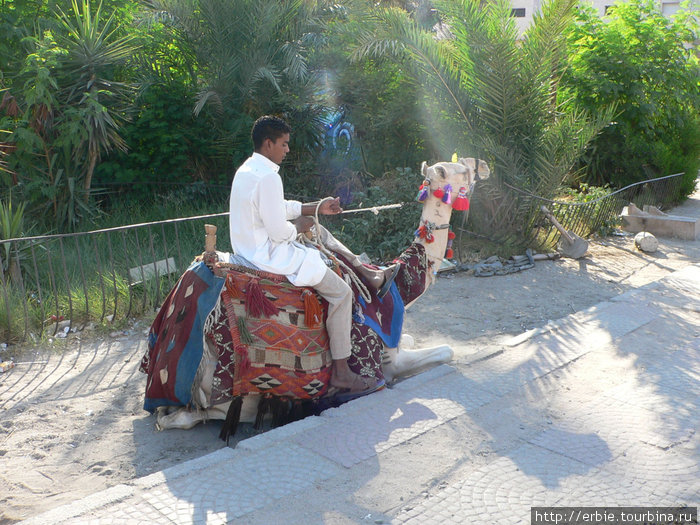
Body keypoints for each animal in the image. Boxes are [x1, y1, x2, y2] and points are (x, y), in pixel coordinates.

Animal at [141, 158, 492, 436]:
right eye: (458, 170)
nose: (482, 165)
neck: (397, 291)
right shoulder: (387, 363)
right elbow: (446, 350)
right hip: (231, 392)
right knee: (194, 415)